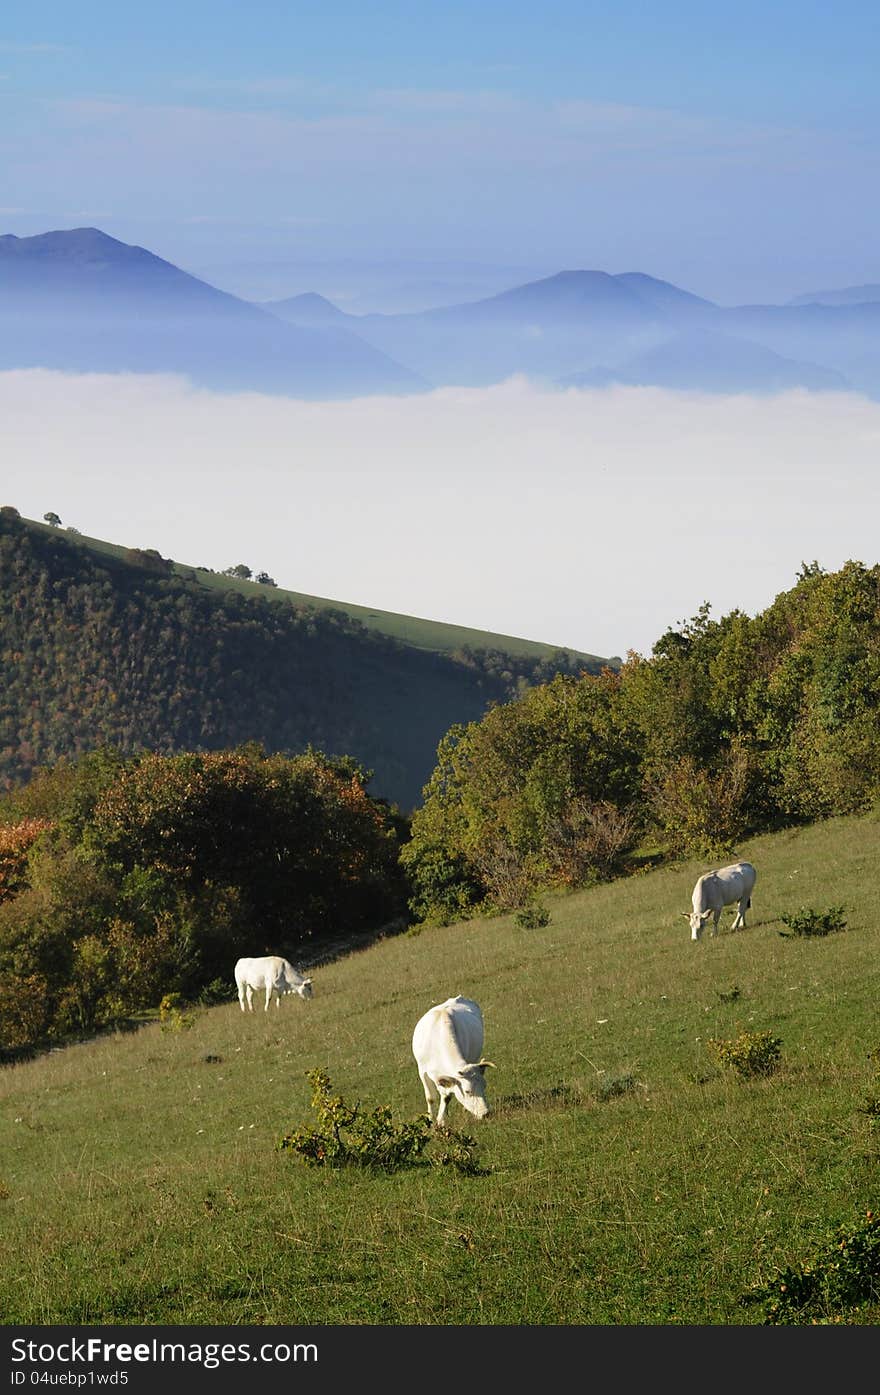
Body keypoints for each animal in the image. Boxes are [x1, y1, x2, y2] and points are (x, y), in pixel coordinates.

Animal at [410, 998, 493, 1127]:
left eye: (485, 1086)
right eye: (467, 1091)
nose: (486, 1114)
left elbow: (446, 1097)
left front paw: (440, 1120)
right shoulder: (422, 1071)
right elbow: (430, 1098)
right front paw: (430, 1120)